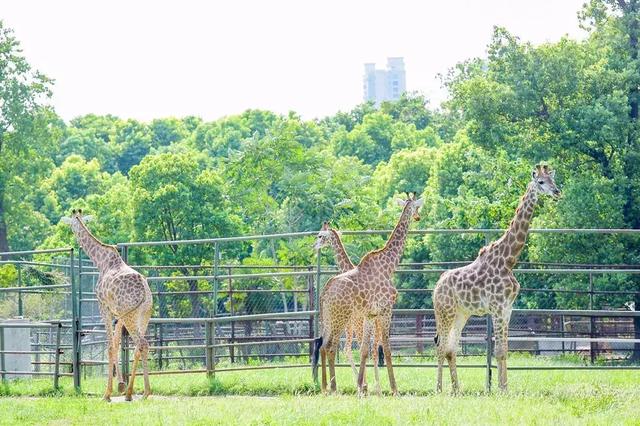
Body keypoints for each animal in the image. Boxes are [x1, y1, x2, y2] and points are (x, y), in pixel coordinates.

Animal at [62, 208, 154, 402]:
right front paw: (121, 386)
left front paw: (107, 394)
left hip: (130, 316)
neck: (100, 261)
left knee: (141, 343)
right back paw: (131, 393)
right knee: (139, 346)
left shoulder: (103, 306)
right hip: (142, 315)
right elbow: (117, 343)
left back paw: (144, 392)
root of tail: (145, 291)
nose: (72, 233)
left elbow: (110, 346)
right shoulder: (118, 314)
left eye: (72, 223)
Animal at [312, 193, 422, 396]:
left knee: (324, 346)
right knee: (331, 347)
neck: (389, 265)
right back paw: (334, 388)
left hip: (329, 318)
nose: (418, 217)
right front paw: (394, 389)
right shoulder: (386, 310)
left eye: (321, 235)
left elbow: (364, 350)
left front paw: (361, 387)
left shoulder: (369, 315)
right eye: (416, 207)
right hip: (341, 318)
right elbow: (386, 348)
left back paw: (325, 388)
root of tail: (324, 291)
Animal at [430, 164, 560, 392]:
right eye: (541, 182)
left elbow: (504, 350)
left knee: (451, 348)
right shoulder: (498, 308)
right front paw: (502, 390)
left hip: (461, 314)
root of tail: (436, 287)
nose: (557, 192)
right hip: (445, 312)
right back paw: (439, 389)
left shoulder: (507, 309)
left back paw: (457, 390)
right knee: (441, 346)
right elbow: (498, 351)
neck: (508, 261)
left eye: (553, 179)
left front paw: (504, 387)